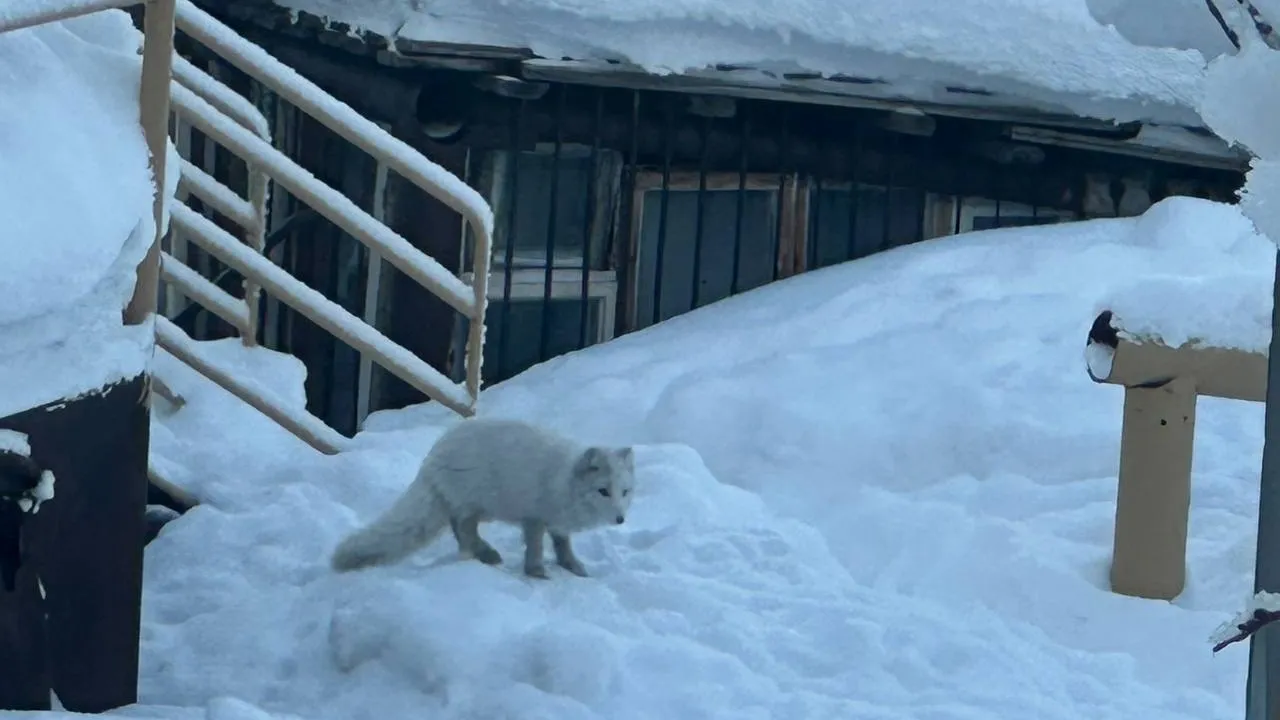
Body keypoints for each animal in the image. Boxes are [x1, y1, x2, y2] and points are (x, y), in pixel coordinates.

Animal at [327, 415, 632, 576]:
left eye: (625, 492)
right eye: (603, 491)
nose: (620, 519)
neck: (563, 478)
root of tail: (433, 455)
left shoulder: (558, 522)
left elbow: (562, 545)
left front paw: (573, 567)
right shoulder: (533, 516)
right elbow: (535, 546)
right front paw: (536, 572)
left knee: (458, 527)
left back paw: (480, 553)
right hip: (478, 503)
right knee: (462, 526)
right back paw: (486, 554)